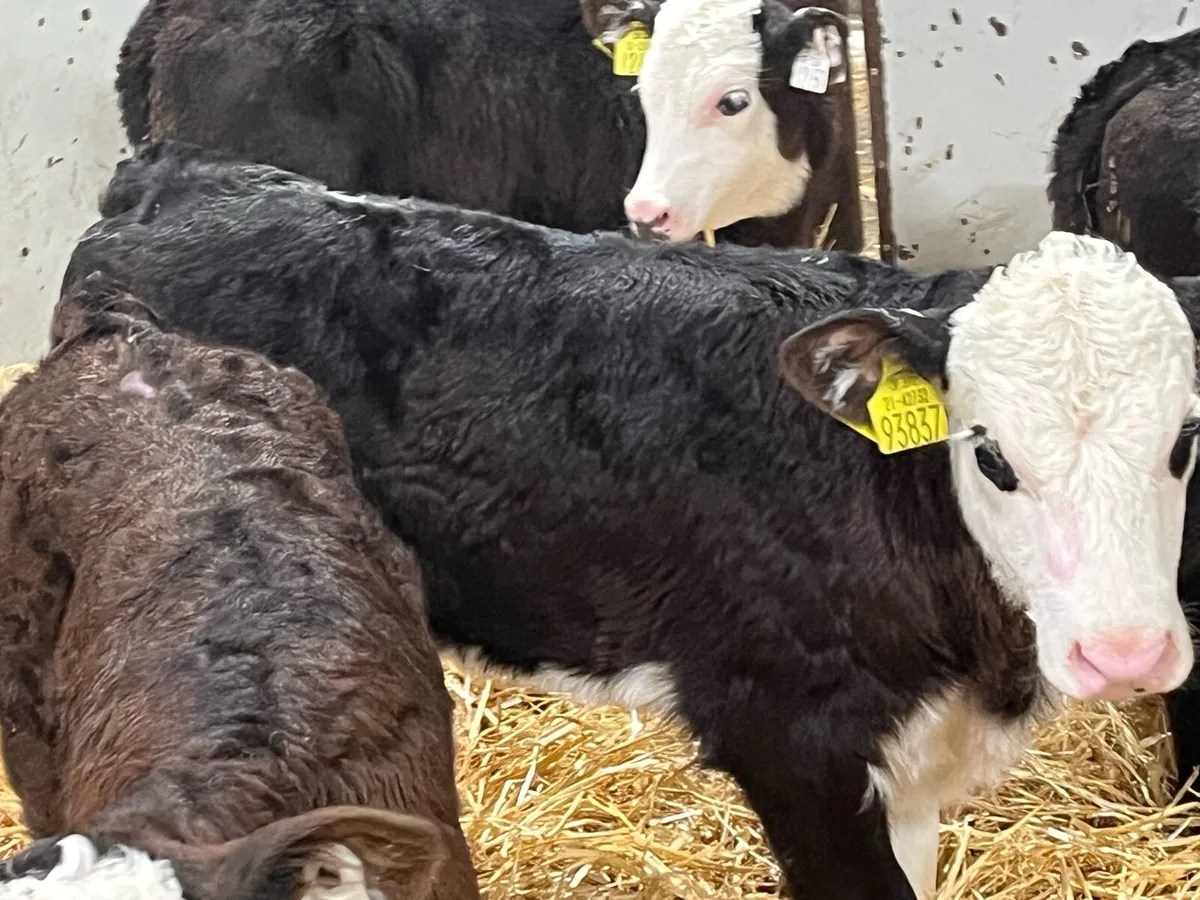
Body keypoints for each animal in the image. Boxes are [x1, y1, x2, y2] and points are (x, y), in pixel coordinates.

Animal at [59, 141, 1200, 899]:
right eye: (990, 453)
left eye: (1186, 438)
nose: (1126, 653)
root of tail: (170, 177)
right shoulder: (785, 734)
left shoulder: (910, 760)